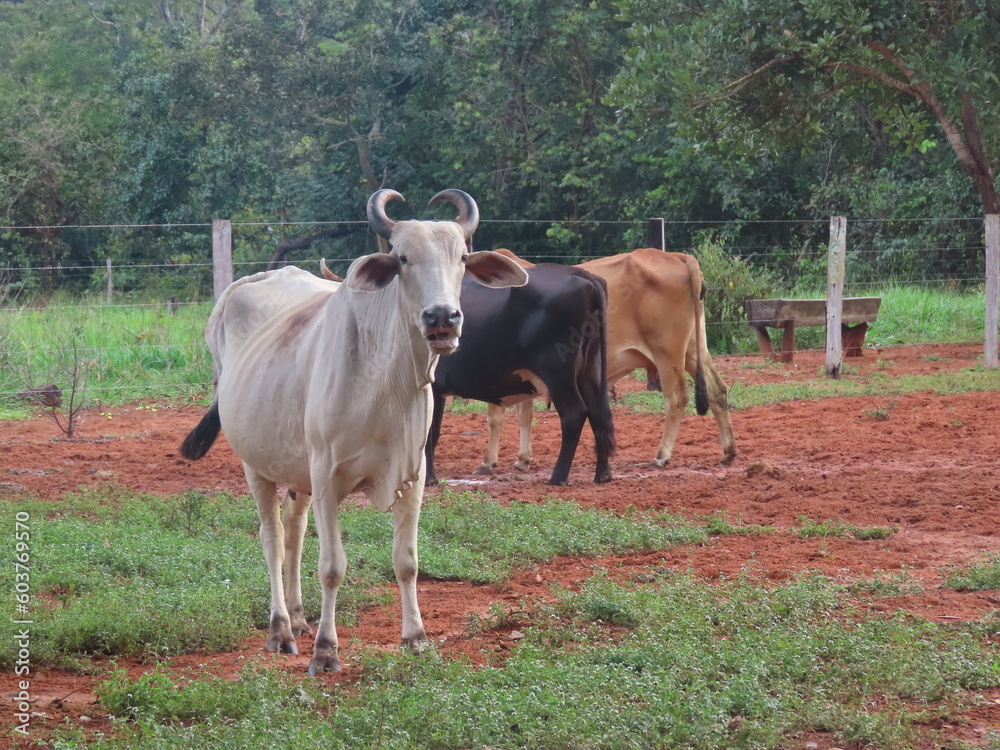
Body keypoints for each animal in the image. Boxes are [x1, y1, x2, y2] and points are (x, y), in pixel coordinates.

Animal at [179, 189, 528, 676]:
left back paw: (299, 616)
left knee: (294, 531)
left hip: (299, 469)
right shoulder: (327, 476)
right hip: (256, 464)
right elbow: (332, 567)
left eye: (461, 257)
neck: (386, 381)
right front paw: (326, 650)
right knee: (273, 539)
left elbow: (407, 562)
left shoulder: (412, 475)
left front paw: (416, 638)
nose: (443, 317)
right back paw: (281, 629)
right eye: (402, 258)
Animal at [426, 264, 612, 488]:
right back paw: (603, 474)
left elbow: (429, 432)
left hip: (557, 373)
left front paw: (428, 478)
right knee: (600, 414)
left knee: (574, 414)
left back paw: (557, 477)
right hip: (592, 370)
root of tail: (580, 273)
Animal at [480, 247, 740, 470]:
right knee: (717, 390)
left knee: (676, 397)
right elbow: (524, 415)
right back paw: (728, 452)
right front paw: (522, 459)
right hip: (693, 348)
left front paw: (488, 461)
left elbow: (495, 416)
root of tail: (677, 257)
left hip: (667, 351)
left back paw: (662, 455)